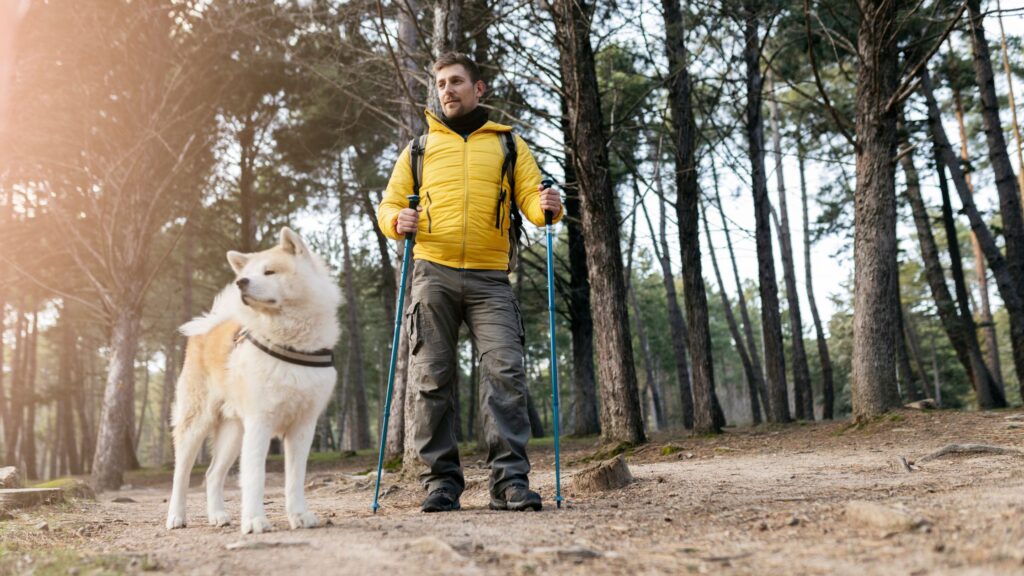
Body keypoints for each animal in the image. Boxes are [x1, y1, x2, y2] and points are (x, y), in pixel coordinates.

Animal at [163, 226, 339, 532]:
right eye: (249, 273)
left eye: (269, 272)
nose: (241, 283)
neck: (289, 342)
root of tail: (210, 326)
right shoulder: (260, 422)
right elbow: (255, 477)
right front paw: (256, 520)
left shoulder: (303, 426)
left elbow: (295, 478)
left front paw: (299, 515)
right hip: (196, 423)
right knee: (181, 474)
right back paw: (176, 516)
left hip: (233, 432)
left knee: (212, 474)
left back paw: (218, 515)